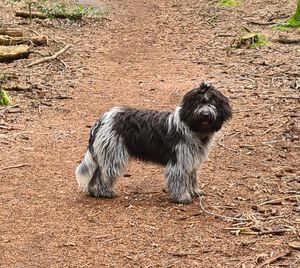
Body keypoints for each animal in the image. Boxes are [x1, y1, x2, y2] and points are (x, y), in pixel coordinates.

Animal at [74, 81, 232, 203]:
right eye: (198, 102)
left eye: (213, 102)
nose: (205, 114)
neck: (192, 127)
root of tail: (103, 119)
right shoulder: (179, 161)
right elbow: (179, 179)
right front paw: (182, 197)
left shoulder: (191, 161)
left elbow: (191, 177)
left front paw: (194, 191)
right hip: (113, 155)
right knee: (103, 174)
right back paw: (103, 192)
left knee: (97, 173)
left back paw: (94, 191)